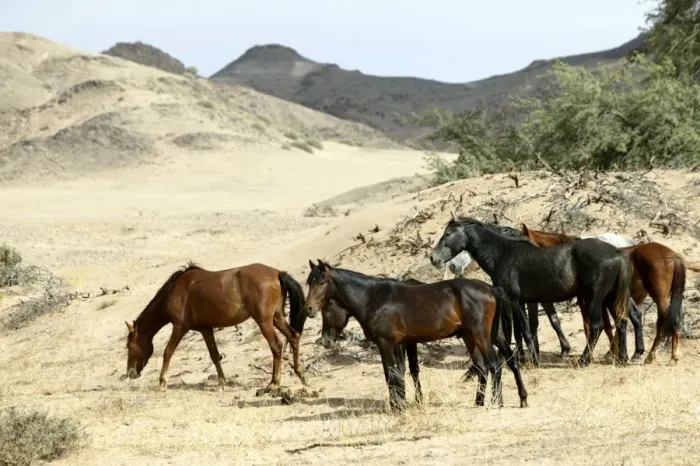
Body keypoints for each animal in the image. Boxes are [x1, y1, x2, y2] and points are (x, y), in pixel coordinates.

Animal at [124, 262, 312, 392]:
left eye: (128, 346)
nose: (130, 374)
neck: (176, 290)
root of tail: (278, 273)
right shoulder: (206, 329)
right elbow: (215, 356)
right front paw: (222, 383)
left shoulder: (179, 327)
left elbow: (168, 352)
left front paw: (162, 382)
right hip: (277, 318)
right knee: (293, 337)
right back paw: (301, 375)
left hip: (264, 321)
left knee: (277, 346)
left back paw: (274, 383)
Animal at [304, 260, 528, 411]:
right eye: (309, 282)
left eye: (322, 282)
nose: (309, 309)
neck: (373, 297)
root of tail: (490, 288)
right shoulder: (397, 344)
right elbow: (397, 373)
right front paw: (400, 404)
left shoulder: (387, 343)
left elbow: (393, 374)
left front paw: (398, 407)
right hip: (472, 336)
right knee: (491, 364)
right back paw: (495, 400)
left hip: (480, 335)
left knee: (494, 364)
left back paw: (496, 402)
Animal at [430, 216, 633, 367]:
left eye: (448, 234)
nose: (434, 258)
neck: (503, 254)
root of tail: (615, 251)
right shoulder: (527, 301)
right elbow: (527, 329)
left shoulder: (515, 301)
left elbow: (525, 330)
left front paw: (533, 361)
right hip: (611, 297)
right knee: (621, 321)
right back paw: (622, 359)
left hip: (594, 298)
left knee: (598, 326)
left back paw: (584, 361)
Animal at [520, 224, 686, 364]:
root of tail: (673, 255)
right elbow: (609, 325)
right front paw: (613, 352)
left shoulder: (587, 302)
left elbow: (592, 326)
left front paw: (595, 355)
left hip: (657, 296)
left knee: (665, 320)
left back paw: (662, 355)